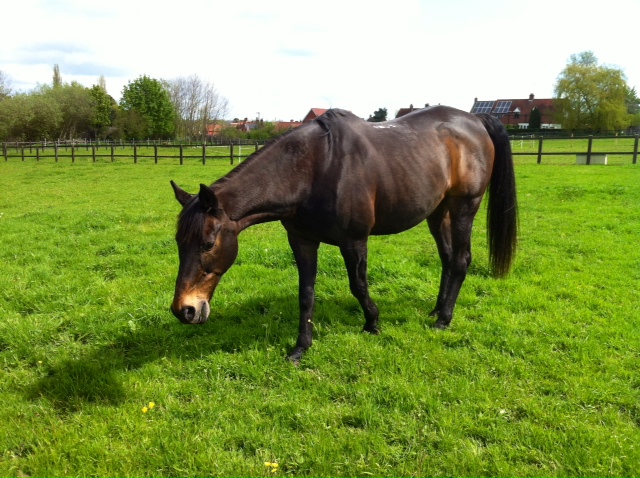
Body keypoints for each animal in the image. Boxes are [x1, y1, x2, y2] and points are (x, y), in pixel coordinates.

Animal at [169, 106, 518, 362]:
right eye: (178, 243)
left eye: (208, 243)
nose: (184, 310)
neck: (315, 168)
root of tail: (476, 121)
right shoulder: (302, 241)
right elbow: (306, 293)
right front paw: (301, 347)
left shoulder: (354, 241)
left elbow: (358, 285)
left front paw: (373, 322)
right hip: (438, 211)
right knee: (447, 258)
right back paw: (436, 308)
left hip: (464, 207)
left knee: (460, 260)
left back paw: (443, 319)